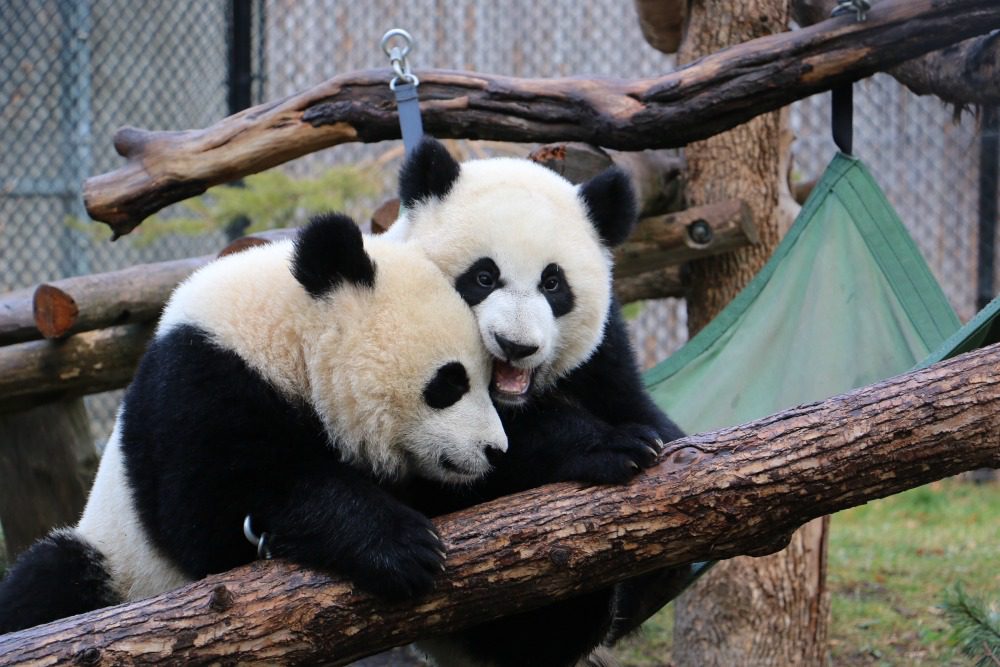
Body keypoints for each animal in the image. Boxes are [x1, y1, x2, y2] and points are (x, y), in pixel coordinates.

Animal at [0, 213, 508, 634]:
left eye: (490, 380)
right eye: (450, 382)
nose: (494, 450)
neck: (282, 337)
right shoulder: (197, 380)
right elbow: (205, 512)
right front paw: (405, 546)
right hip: (120, 560)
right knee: (51, 579)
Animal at [385, 138, 686, 667]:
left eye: (553, 283)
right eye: (483, 277)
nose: (516, 345)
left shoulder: (602, 358)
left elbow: (640, 408)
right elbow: (460, 465)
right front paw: (615, 447)